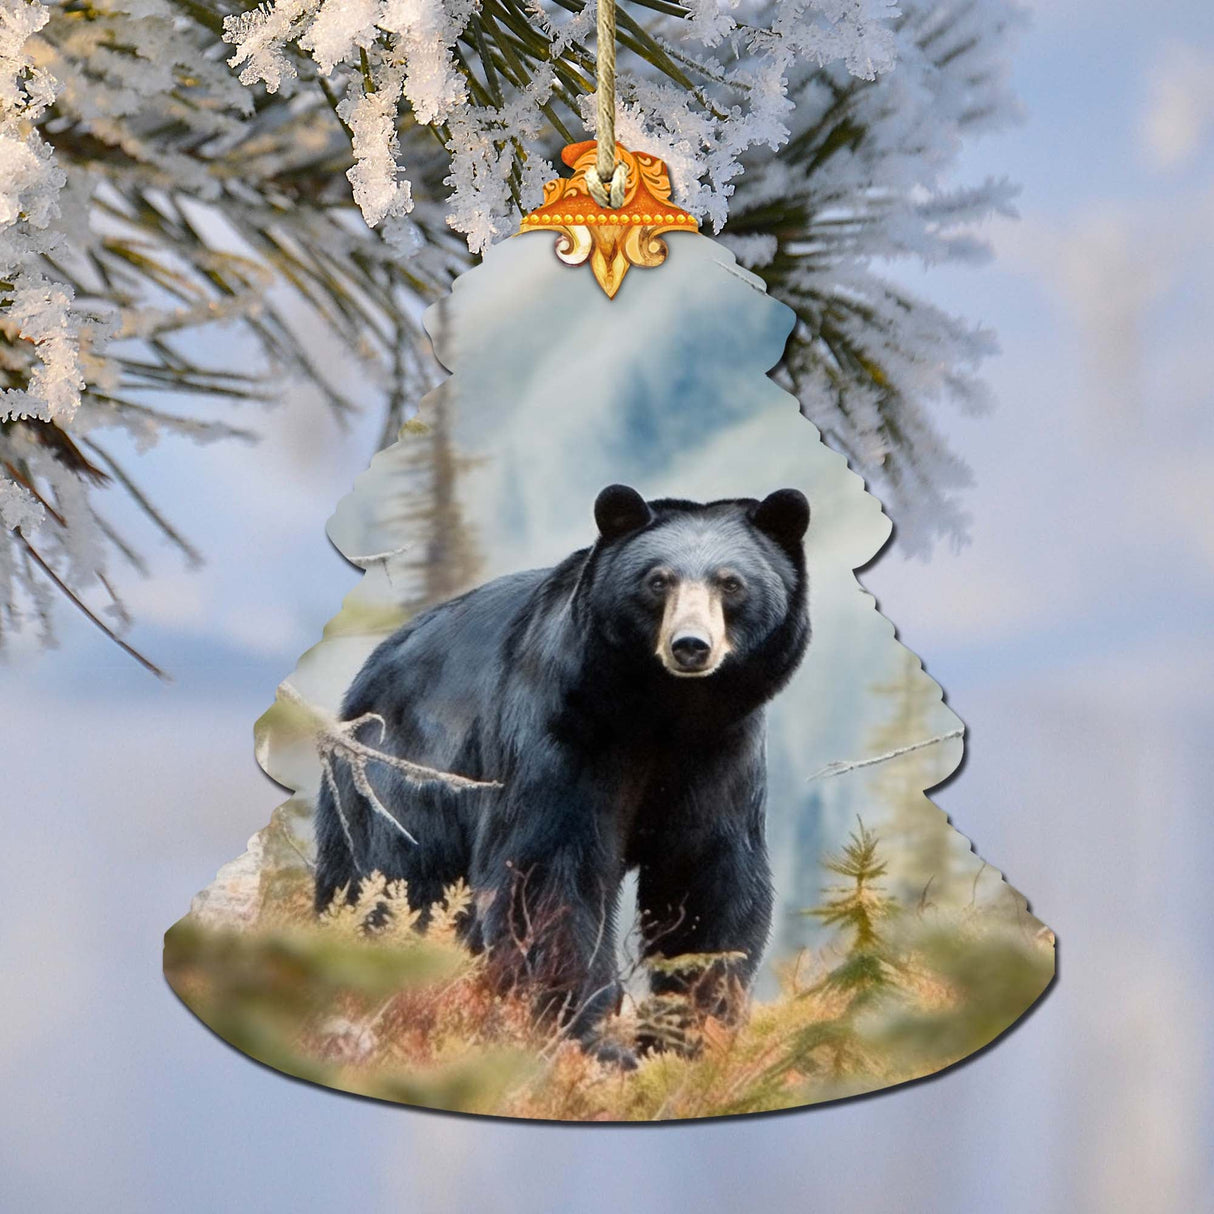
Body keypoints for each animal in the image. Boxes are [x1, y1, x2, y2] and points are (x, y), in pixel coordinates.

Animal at [314, 483, 810, 1064]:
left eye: (731, 583)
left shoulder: (720, 752)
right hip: (403, 777)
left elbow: (707, 875)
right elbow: (549, 873)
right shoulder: (560, 732)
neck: (658, 711)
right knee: (391, 881)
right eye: (657, 579)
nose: (691, 645)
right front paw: (586, 1033)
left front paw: (689, 1033)